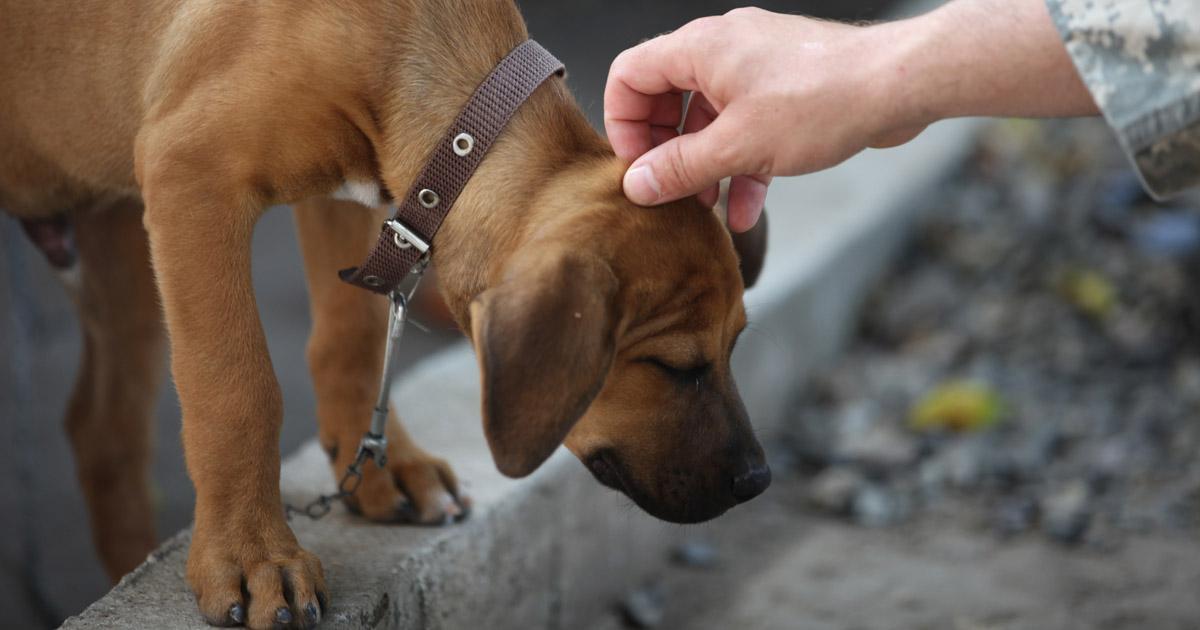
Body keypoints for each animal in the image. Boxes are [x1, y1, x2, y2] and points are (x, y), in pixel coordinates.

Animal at [0, 2, 768, 624]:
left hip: (118, 240)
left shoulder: (367, 197)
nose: (758, 482)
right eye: (673, 367)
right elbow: (237, 388)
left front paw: (383, 466)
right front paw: (252, 555)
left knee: (102, 430)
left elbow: (355, 336)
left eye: (737, 346)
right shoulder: (192, 177)